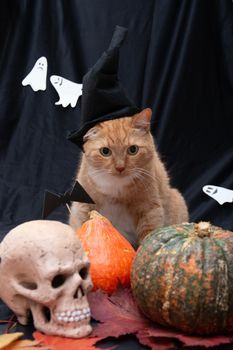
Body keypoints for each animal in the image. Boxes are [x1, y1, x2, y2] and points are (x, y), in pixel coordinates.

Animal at [68, 108, 187, 247]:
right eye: (105, 151)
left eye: (133, 149)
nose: (120, 167)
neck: (116, 189)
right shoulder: (83, 207)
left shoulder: (150, 210)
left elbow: (147, 236)